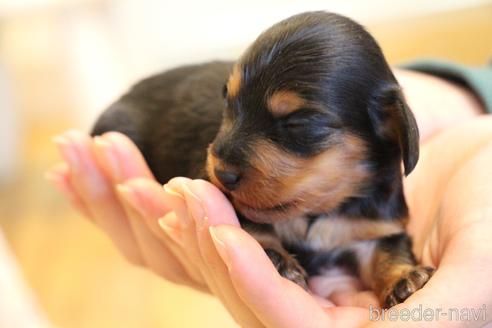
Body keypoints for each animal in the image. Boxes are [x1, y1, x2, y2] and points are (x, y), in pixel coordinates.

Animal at [92, 10, 434, 308]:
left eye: (298, 123)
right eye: (228, 102)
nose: (222, 173)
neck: (319, 210)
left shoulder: (375, 227)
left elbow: (387, 251)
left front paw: (405, 279)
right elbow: (254, 226)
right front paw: (281, 261)